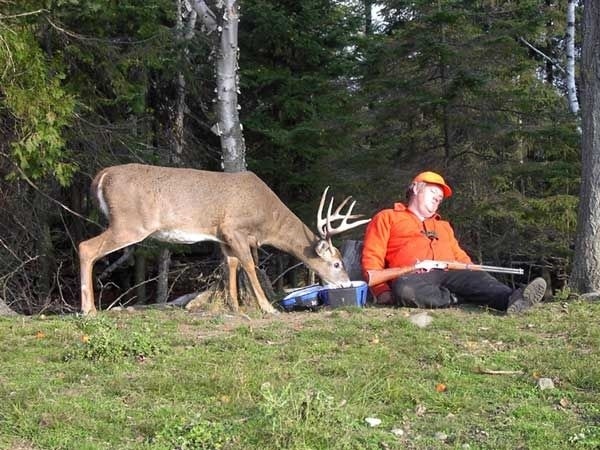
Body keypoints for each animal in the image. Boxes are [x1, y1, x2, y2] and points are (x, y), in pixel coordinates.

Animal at [79, 163, 370, 314]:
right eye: (336, 263)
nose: (346, 284)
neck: (266, 219)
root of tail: (101, 176)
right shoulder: (234, 228)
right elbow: (251, 266)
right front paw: (267, 307)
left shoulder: (222, 237)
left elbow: (231, 265)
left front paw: (235, 307)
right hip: (130, 222)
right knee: (85, 247)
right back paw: (89, 310)